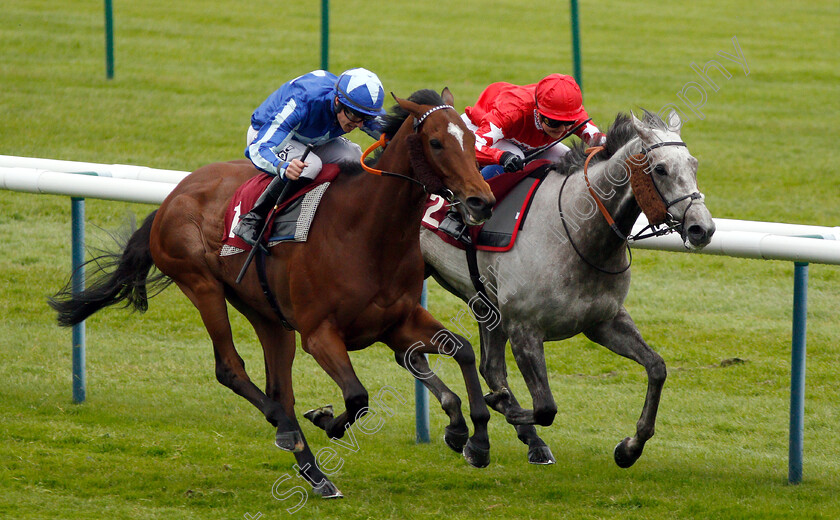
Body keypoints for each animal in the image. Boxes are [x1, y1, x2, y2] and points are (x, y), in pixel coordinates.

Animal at [52, 89, 496, 500]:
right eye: (436, 142)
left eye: (472, 139)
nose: (482, 201)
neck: (367, 230)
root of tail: (172, 196)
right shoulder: (319, 335)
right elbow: (358, 397)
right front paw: (326, 419)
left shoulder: (396, 322)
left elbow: (461, 349)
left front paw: (471, 438)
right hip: (201, 284)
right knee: (233, 370)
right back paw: (286, 429)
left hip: (267, 313)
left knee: (279, 387)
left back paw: (315, 473)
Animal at [420, 109, 716, 468]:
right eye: (660, 168)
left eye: (694, 164)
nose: (702, 228)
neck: (575, 231)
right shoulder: (523, 328)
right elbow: (545, 407)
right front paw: (502, 408)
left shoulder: (603, 321)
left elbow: (657, 368)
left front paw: (630, 447)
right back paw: (463, 426)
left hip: (484, 304)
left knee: (487, 366)